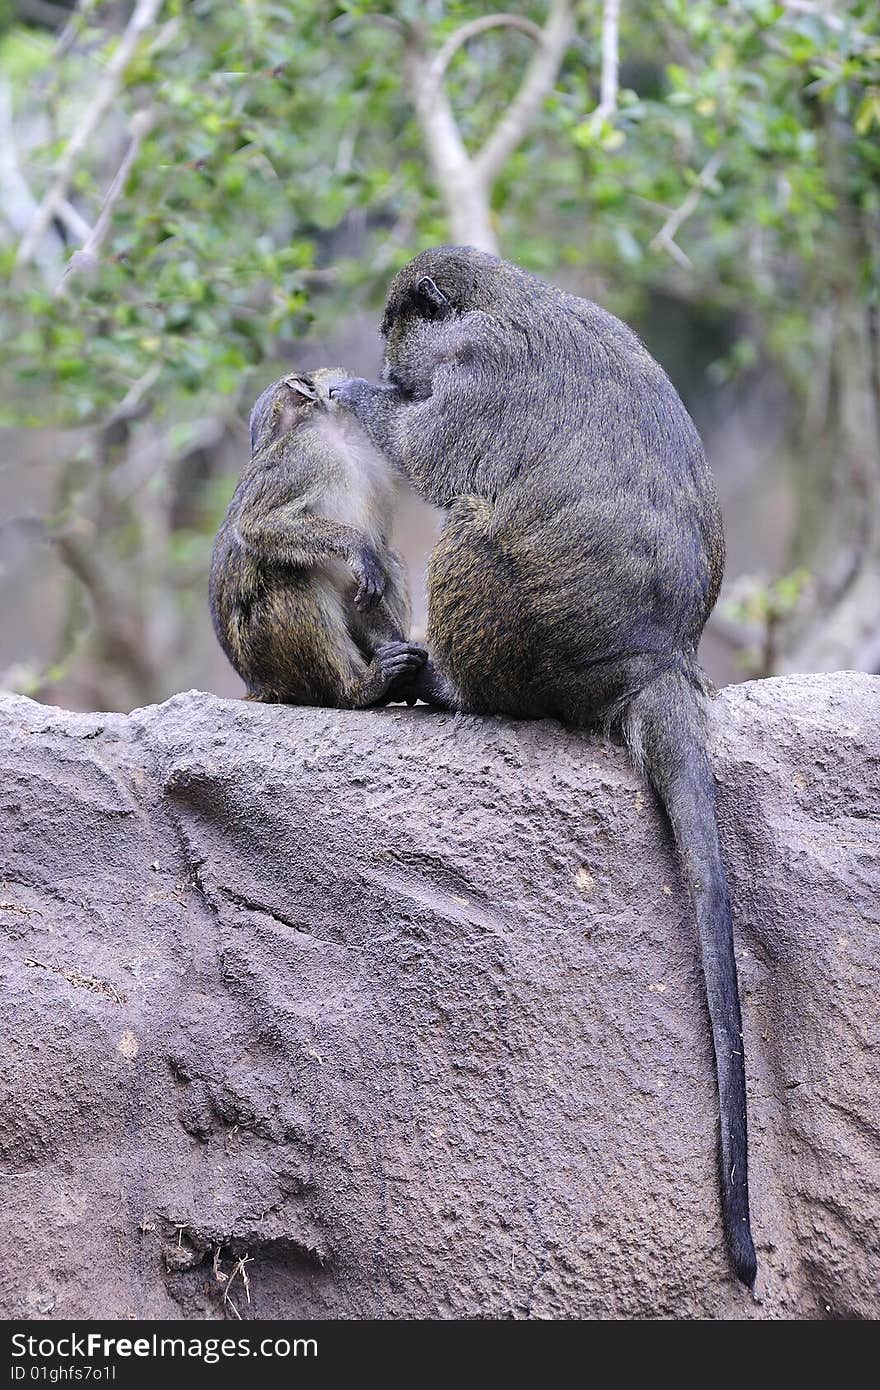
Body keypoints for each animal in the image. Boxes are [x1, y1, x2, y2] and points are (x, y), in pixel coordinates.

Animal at [209, 366, 422, 706]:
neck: (339, 440)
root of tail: (257, 685)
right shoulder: (304, 455)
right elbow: (254, 523)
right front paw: (355, 545)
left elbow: (358, 582)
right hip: (268, 657)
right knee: (287, 572)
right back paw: (357, 689)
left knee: (390, 560)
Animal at [329, 244, 756, 1284]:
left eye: (398, 328)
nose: (384, 358)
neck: (507, 299)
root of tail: (658, 659)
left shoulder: (472, 378)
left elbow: (423, 446)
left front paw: (352, 393)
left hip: (512, 621)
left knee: (470, 523)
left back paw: (451, 688)